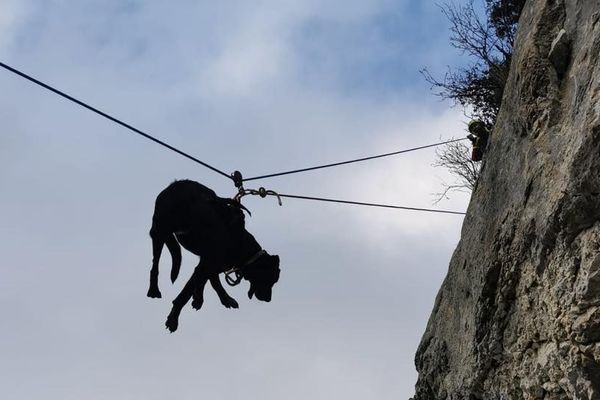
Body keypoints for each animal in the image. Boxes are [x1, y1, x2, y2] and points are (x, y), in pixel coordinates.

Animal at [149, 180, 282, 332]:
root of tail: (176, 184)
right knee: (154, 266)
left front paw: (204, 298)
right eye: (270, 279)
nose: (268, 299)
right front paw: (173, 318)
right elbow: (186, 293)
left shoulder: (209, 264)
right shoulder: (206, 264)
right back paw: (153, 290)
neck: (241, 244)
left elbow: (211, 281)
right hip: (159, 232)